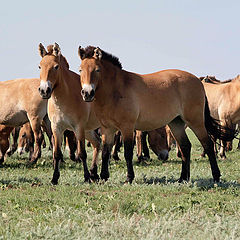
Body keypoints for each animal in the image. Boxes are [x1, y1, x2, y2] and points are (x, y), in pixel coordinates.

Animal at [78, 45, 235, 184]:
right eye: (80, 70)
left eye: (97, 70)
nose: (87, 93)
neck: (116, 90)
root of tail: (198, 81)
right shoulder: (107, 129)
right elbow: (105, 152)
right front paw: (103, 177)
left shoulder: (127, 127)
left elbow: (128, 153)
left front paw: (129, 178)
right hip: (176, 123)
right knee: (185, 147)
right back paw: (183, 178)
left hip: (195, 122)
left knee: (207, 145)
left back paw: (216, 177)